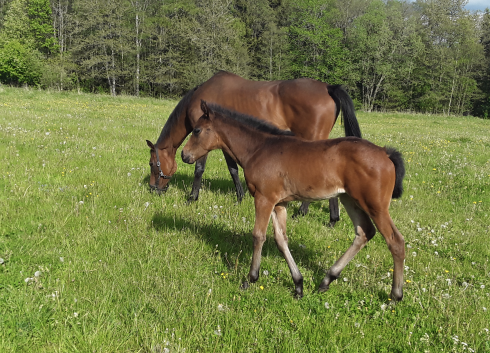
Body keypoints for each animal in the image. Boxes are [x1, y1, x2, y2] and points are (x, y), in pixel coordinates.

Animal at [144, 70, 362, 224]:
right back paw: (331, 218)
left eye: (152, 164)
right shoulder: (225, 142)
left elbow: (199, 169)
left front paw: (192, 198)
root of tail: (328, 87)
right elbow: (233, 169)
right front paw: (240, 197)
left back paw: (304, 212)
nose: (153, 189)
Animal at [180, 101, 406, 300]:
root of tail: (385, 153)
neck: (259, 148)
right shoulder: (278, 203)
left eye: (197, 130)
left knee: (395, 241)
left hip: (375, 206)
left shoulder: (263, 199)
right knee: (364, 232)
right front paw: (298, 285)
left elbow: (258, 236)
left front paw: (250, 279)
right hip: (349, 199)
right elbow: (281, 239)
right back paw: (326, 280)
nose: (184, 155)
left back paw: (395, 295)